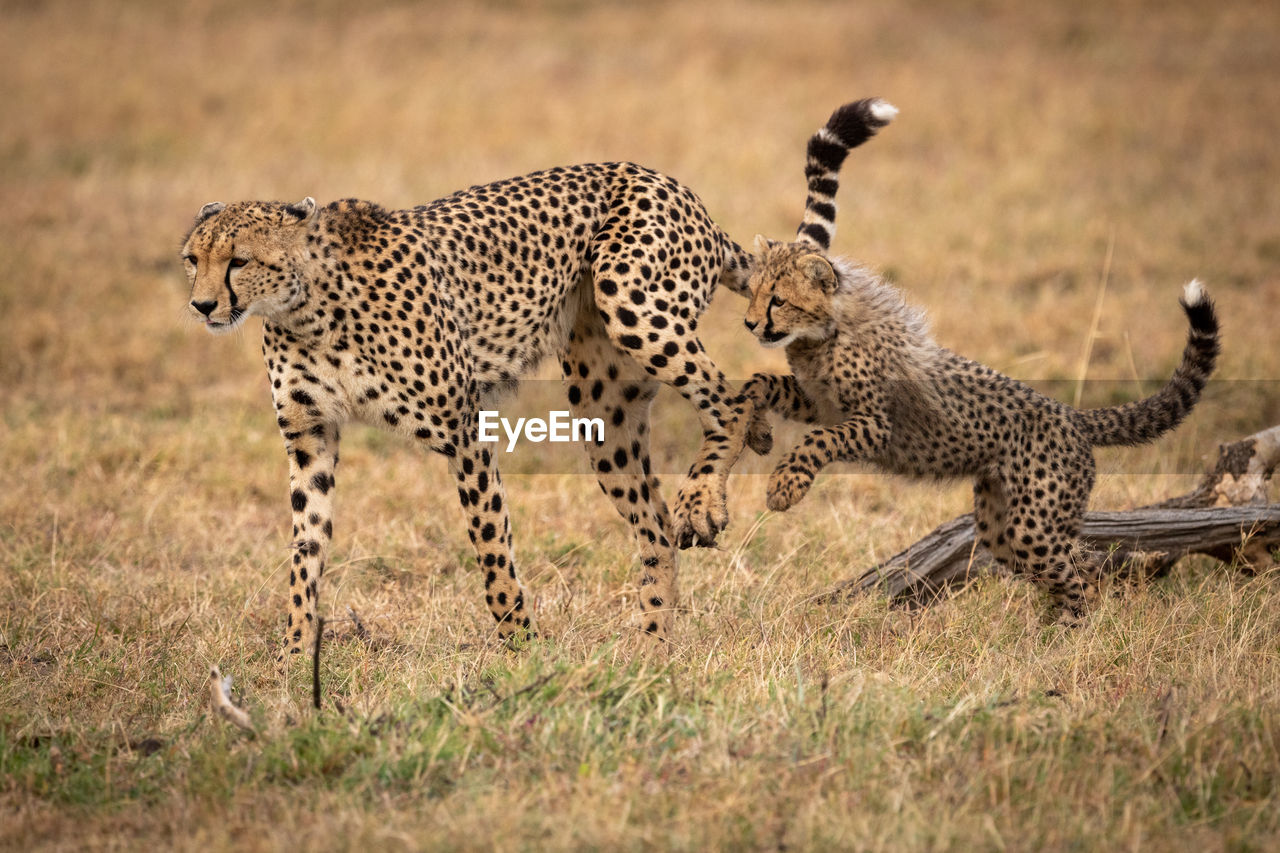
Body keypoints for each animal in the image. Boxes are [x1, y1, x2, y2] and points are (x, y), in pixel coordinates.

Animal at [180, 161, 757, 666]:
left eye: (239, 261)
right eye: (192, 259)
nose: (202, 306)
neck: (306, 309)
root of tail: (662, 178)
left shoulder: (464, 430)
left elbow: (490, 545)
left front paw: (522, 648)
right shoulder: (310, 439)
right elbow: (306, 551)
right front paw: (294, 659)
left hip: (634, 306)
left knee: (737, 399)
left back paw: (702, 504)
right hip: (603, 411)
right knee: (656, 525)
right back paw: (653, 643)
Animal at [737, 97, 1213, 617]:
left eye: (777, 299)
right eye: (751, 290)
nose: (750, 324)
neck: (822, 335)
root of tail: (1072, 416)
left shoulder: (874, 422)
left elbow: (818, 441)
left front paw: (784, 486)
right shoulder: (817, 400)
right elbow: (761, 382)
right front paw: (757, 431)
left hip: (1034, 523)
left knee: (1081, 572)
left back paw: (1076, 631)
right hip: (1001, 522)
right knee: (1074, 564)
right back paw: (1055, 626)